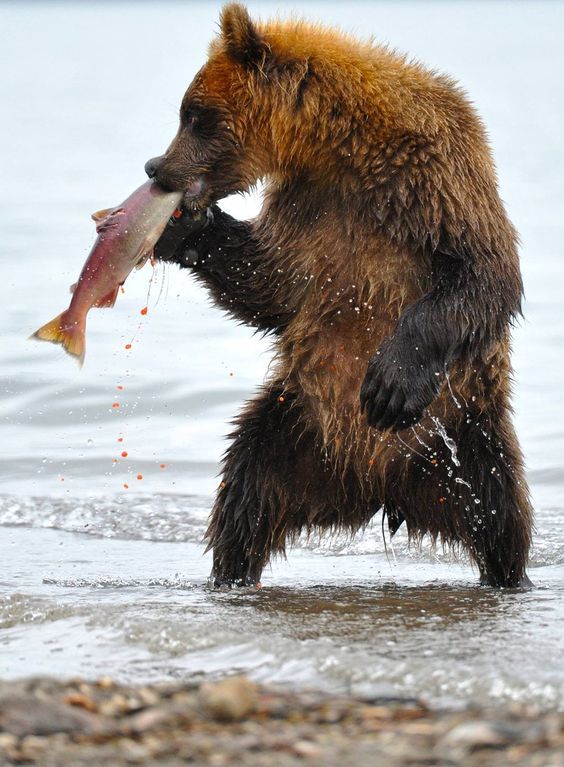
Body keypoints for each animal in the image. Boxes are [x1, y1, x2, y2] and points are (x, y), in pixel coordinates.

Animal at [145, 4, 532, 588]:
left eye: (195, 115)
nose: (156, 167)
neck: (343, 150)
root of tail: (378, 487)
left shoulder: (435, 179)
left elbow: (485, 274)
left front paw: (391, 383)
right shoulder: (310, 215)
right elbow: (272, 284)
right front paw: (185, 227)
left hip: (463, 429)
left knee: (500, 513)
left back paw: (510, 573)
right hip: (295, 427)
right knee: (245, 492)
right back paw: (230, 572)